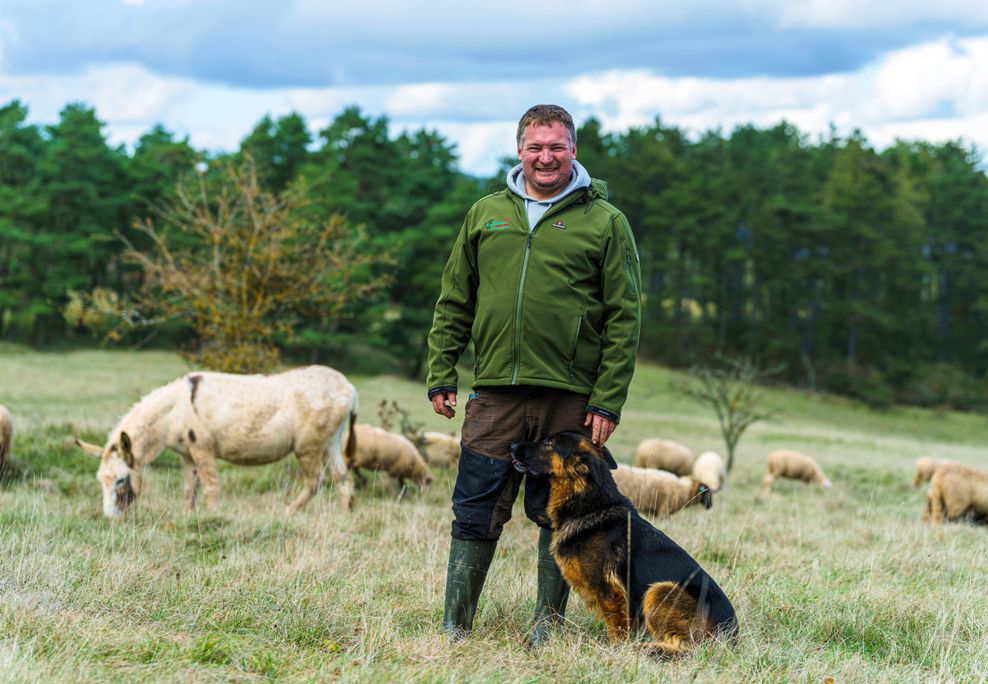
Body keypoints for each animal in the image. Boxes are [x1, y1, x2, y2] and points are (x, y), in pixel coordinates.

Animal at [74, 366, 358, 516]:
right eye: (100, 481)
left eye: (121, 480)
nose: (110, 518)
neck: (174, 411)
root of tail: (349, 387)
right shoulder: (187, 455)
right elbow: (189, 489)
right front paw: (188, 517)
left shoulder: (203, 450)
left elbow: (211, 487)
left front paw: (214, 518)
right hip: (331, 443)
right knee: (342, 479)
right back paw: (343, 517)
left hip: (308, 447)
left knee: (315, 482)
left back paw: (287, 513)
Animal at [510, 430, 732, 656]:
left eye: (549, 443)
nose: (512, 446)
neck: (592, 506)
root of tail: (732, 632)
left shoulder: (611, 592)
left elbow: (616, 630)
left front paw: (614, 652)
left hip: (659, 590)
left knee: (686, 648)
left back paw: (646, 649)